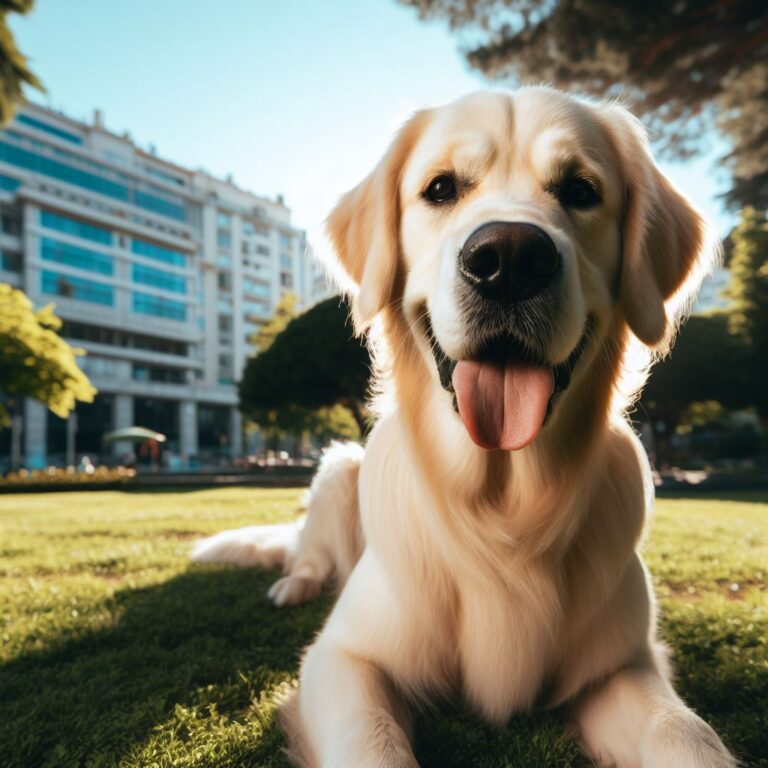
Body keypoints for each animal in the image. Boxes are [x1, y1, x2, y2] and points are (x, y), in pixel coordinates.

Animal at [195, 87, 736, 764]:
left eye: (581, 190)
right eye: (441, 188)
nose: (509, 259)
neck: (504, 505)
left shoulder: (619, 667)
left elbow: (683, 731)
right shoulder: (344, 659)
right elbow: (371, 743)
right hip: (338, 469)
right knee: (310, 555)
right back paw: (294, 585)